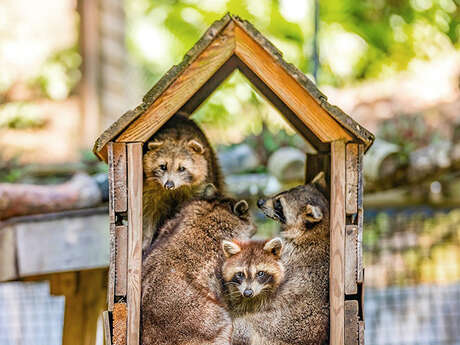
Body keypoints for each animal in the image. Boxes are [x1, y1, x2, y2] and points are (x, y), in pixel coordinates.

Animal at [143, 114, 224, 251]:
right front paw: (145, 241)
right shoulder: (150, 188)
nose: (169, 185)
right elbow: (148, 213)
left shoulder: (198, 186)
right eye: (163, 166)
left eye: (181, 168)